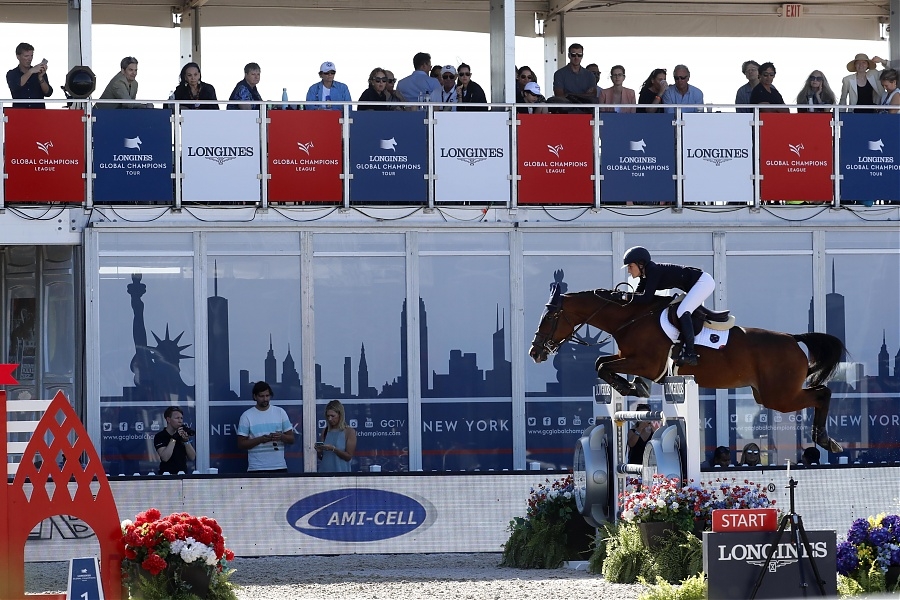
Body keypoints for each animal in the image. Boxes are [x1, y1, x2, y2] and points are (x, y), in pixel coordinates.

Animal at [529, 284, 845, 453]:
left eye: (550, 317)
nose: (535, 352)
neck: (631, 318)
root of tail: (793, 339)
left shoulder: (647, 362)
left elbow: (601, 364)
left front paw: (627, 386)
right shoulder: (629, 357)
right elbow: (603, 363)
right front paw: (632, 386)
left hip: (778, 396)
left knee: (822, 393)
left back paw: (826, 441)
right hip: (769, 395)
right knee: (820, 392)